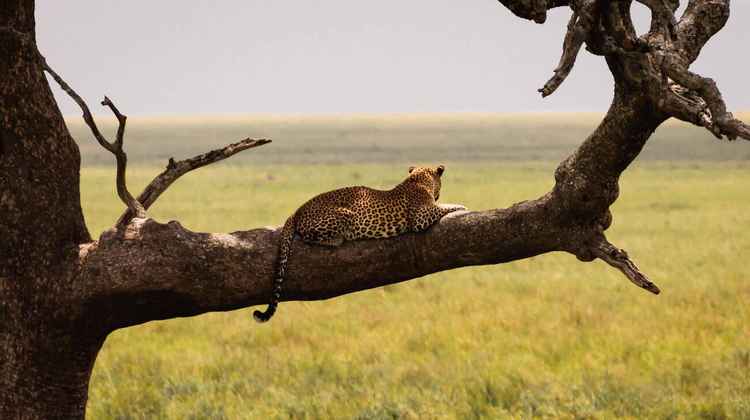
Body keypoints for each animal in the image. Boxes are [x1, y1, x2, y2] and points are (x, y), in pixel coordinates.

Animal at [254, 164, 464, 322]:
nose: (438, 195)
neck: (418, 180)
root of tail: (297, 210)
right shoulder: (421, 218)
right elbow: (442, 207)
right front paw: (460, 206)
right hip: (347, 215)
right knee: (310, 236)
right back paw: (336, 239)